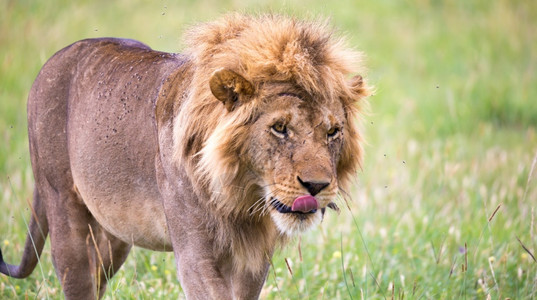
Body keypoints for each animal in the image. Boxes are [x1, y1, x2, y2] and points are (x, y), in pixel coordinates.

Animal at [0, 14, 368, 300]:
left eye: (333, 132)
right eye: (280, 127)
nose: (317, 186)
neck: (241, 196)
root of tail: (56, 58)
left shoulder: (253, 256)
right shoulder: (195, 254)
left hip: (114, 236)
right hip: (63, 206)